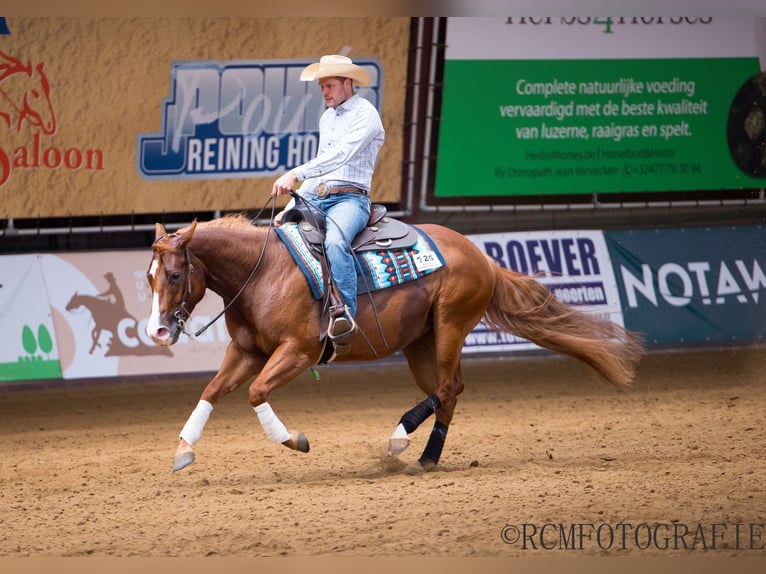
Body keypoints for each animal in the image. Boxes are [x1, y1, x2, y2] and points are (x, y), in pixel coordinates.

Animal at [144, 214, 640, 474]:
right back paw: (426, 457)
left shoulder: (298, 352)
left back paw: (400, 438)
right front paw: (184, 450)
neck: (263, 271)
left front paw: (294, 440)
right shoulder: (248, 353)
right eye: (149, 276)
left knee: (449, 387)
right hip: (421, 343)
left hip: (451, 326)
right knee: (447, 391)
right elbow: (212, 390)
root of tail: (481, 257)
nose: (158, 332)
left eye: (175, 274)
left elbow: (256, 392)